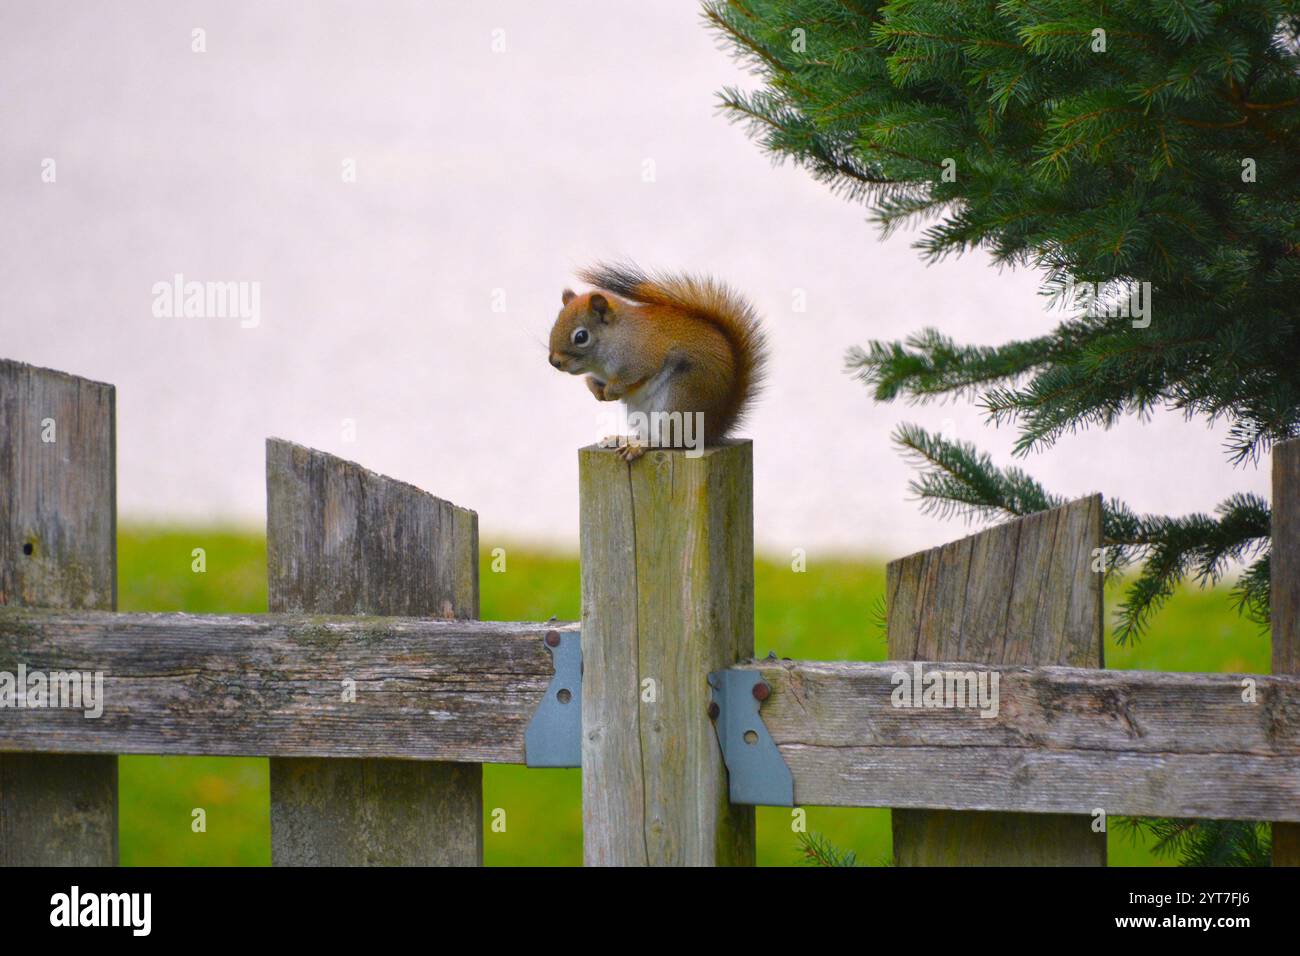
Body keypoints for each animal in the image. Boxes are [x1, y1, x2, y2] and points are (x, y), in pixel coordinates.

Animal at [548, 263, 768, 460]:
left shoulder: (641, 358)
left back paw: (641, 445)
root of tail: (711, 431)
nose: (554, 362)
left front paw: (610, 391)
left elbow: (632, 378)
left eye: (581, 336)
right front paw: (595, 389)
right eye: (555, 323)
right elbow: (595, 381)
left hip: (678, 403)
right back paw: (622, 439)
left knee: (672, 442)